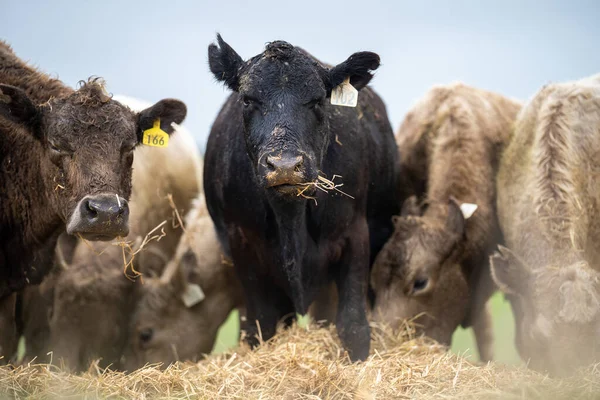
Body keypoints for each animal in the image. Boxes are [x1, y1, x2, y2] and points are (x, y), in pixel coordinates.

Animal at [205, 35, 398, 360]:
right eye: (247, 100)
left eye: (318, 100)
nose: (284, 165)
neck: (290, 218)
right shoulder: (241, 241)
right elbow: (260, 325)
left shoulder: (355, 233)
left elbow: (353, 326)